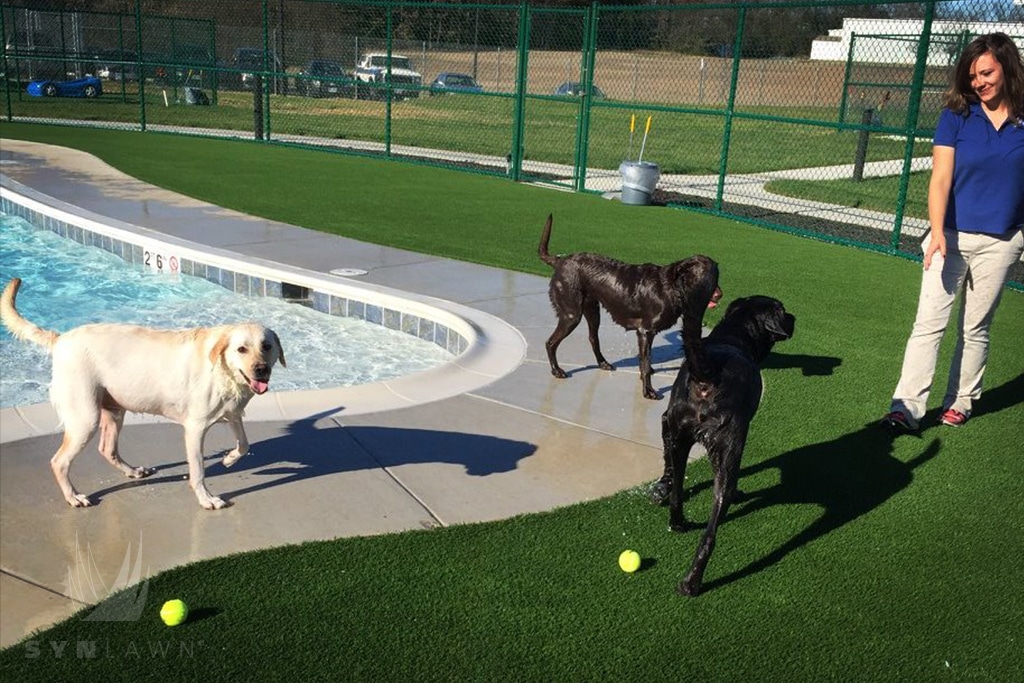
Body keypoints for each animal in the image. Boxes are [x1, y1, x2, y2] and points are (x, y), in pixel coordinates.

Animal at [536, 215, 720, 401]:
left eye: (717, 276)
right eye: (705, 277)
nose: (720, 295)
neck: (672, 287)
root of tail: (561, 260)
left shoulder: (646, 334)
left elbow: (645, 361)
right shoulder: (645, 331)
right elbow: (645, 364)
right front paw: (649, 391)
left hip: (593, 311)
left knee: (593, 338)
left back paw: (603, 363)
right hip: (571, 315)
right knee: (550, 342)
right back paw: (556, 370)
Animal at [647, 294, 798, 598]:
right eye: (783, 310)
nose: (794, 318)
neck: (733, 335)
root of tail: (708, 373)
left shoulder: (666, 420)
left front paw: (661, 488)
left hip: (679, 435)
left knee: (677, 494)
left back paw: (678, 522)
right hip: (729, 446)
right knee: (710, 531)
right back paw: (692, 582)